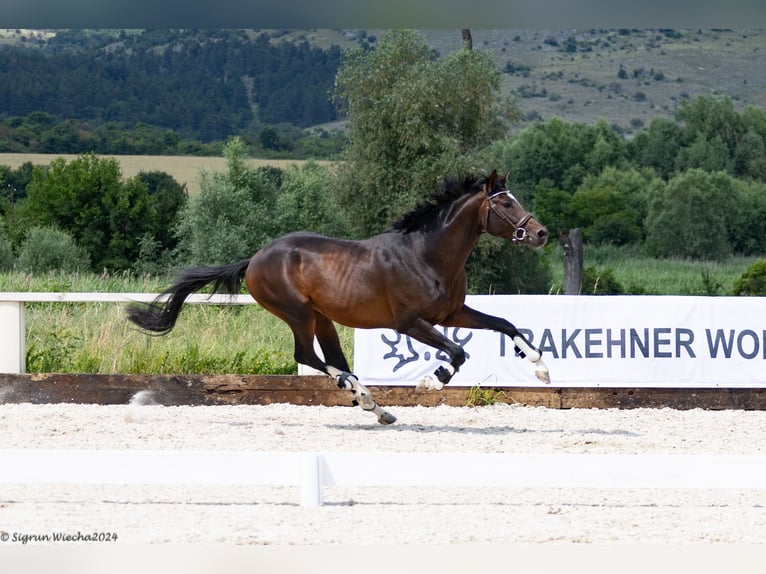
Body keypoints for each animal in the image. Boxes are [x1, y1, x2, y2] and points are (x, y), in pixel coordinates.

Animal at [130, 169, 552, 426]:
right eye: (506, 203)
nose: (541, 234)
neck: (427, 254)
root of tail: (255, 258)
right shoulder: (410, 322)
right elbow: (458, 352)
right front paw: (431, 382)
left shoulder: (452, 313)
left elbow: (504, 323)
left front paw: (540, 366)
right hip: (298, 313)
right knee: (308, 356)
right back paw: (367, 399)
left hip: (323, 318)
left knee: (334, 360)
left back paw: (374, 406)